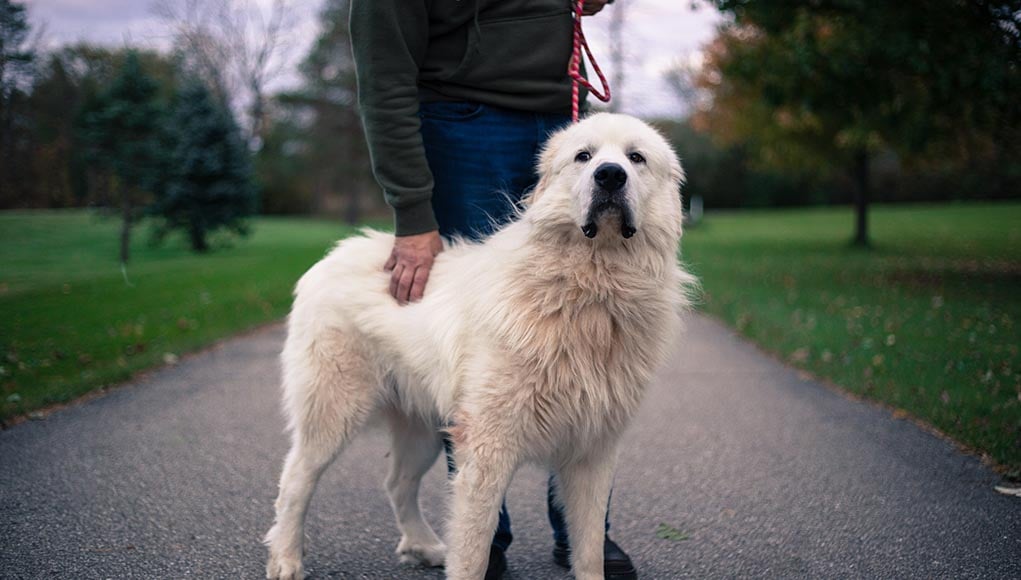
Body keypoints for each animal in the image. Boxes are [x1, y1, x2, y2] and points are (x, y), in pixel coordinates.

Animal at [265, 114, 694, 580]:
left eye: (636, 158)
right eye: (585, 156)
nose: (611, 175)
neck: (589, 291)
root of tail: (335, 252)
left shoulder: (591, 451)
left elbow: (589, 549)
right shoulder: (489, 448)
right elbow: (472, 551)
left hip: (425, 427)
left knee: (397, 483)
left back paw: (423, 546)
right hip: (334, 412)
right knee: (295, 481)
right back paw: (286, 559)